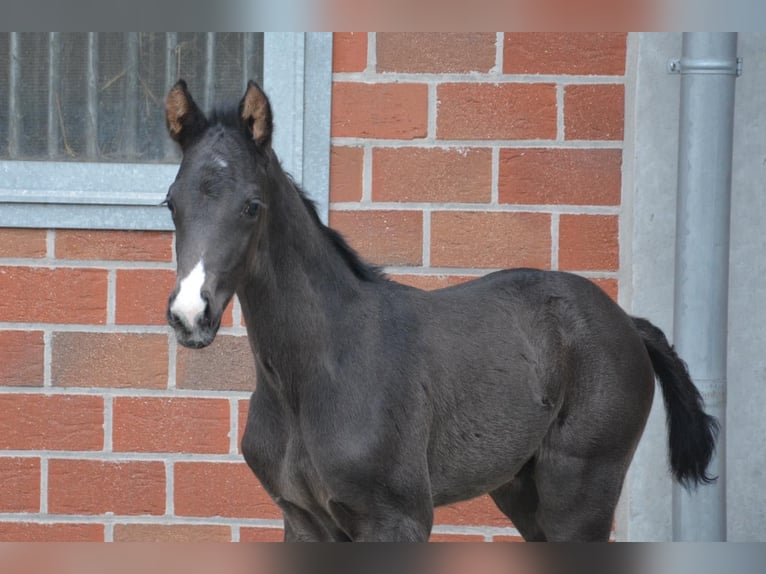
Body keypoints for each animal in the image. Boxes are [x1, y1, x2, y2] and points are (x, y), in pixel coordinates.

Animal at [164, 81, 720, 544]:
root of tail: (628, 323)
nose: (191, 315)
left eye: (252, 205)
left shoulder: (397, 519)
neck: (318, 371)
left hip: (581, 492)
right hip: (522, 491)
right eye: (171, 202)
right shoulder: (305, 523)